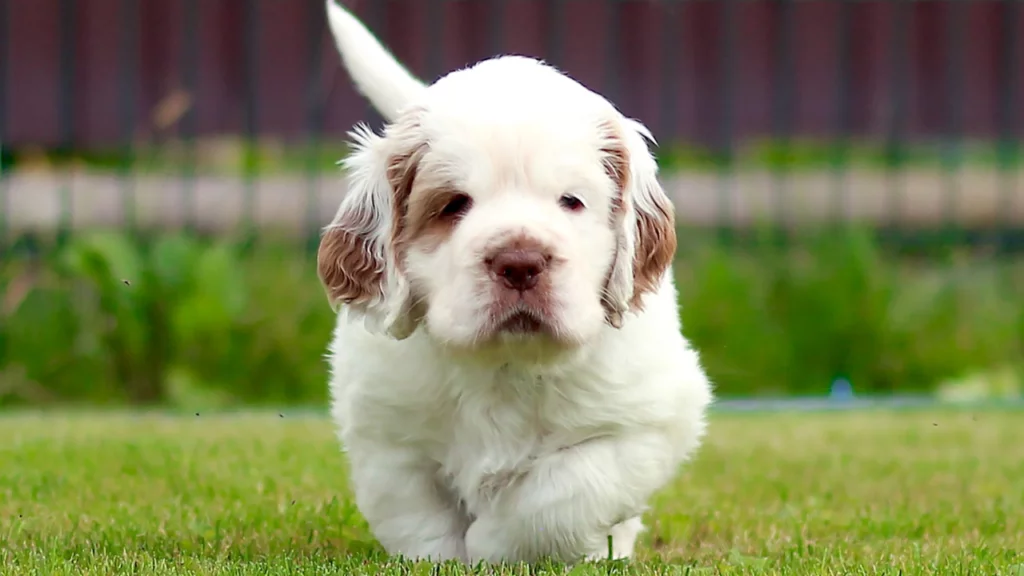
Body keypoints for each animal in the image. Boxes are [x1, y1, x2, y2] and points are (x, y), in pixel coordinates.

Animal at [319, 0, 712, 561]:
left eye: (571, 201)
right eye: (453, 205)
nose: (520, 262)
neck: (504, 365)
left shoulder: (645, 425)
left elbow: (560, 494)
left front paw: (494, 544)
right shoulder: (386, 433)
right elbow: (417, 518)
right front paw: (445, 558)